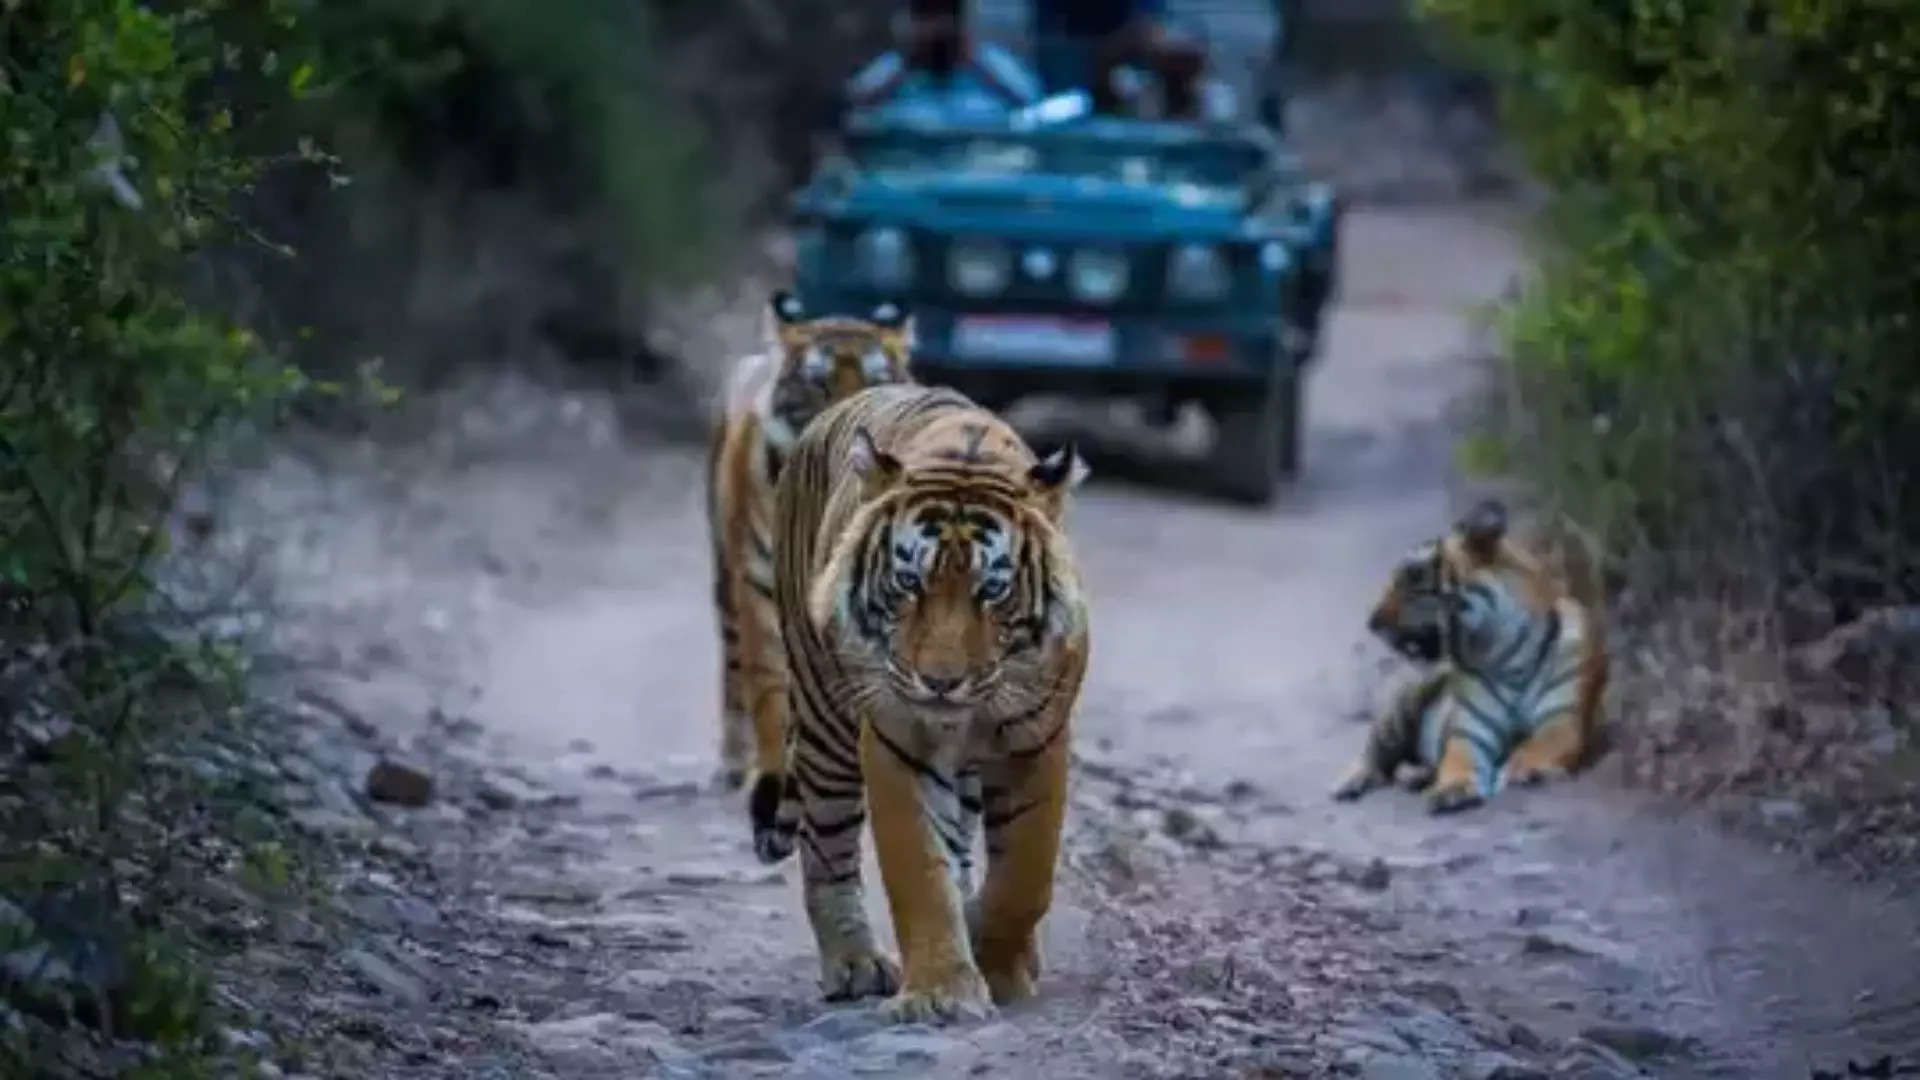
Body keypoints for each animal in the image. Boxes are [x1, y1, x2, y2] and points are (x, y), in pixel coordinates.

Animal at [706, 286, 913, 799]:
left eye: (878, 381)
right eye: (819, 384)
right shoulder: (759, 585)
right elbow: (768, 686)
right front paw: (771, 772)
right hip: (727, 577)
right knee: (734, 668)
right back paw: (734, 763)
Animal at [760, 382, 1098, 1022]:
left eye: (992, 590)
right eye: (909, 583)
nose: (940, 682)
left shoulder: (1039, 740)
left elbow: (1026, 873)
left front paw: (999, 965)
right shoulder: (898, 738)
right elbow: (919, 870)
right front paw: (942, 991)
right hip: (823, 716)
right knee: (826, 847)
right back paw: (855, 965)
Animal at [1328, 499, 1612, 810]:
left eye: (1412, 576)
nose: (1372, 622)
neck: (1507, 655)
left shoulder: (1561, 718)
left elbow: (1540, 744)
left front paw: (1527, 769)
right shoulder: (1470, 728)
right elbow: (1458, 757)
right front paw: (1451, 788)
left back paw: (1415, 776)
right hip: (1403, 702)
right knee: (1375, 753)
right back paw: (1349, 783)